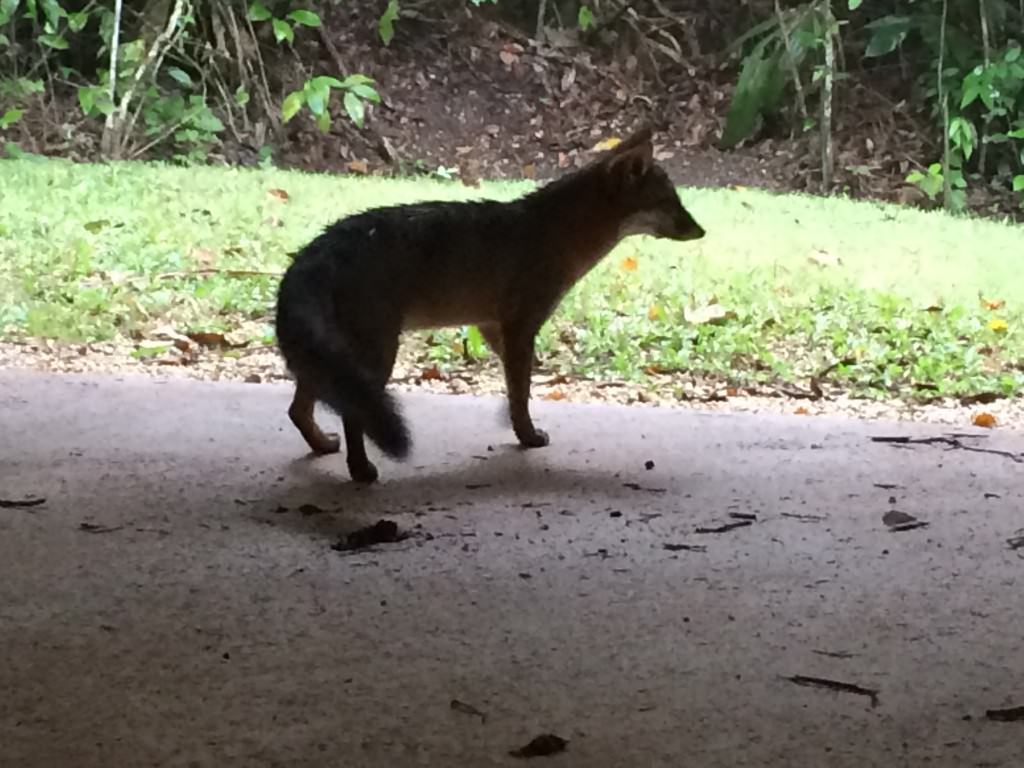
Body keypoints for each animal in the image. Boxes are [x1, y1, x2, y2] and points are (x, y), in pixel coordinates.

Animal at [276, 128, 708, 483]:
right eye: (671, 203)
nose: (702, 231)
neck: (557, 232)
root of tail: (315, 249)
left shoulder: (493, 325)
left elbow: (517, 387)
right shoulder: (521, 326)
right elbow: (521, 391)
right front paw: (527, 436)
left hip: (335, 357)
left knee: (298, 409)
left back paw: (322, 446)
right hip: (378, 355)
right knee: (350, 412)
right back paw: (361, 470)